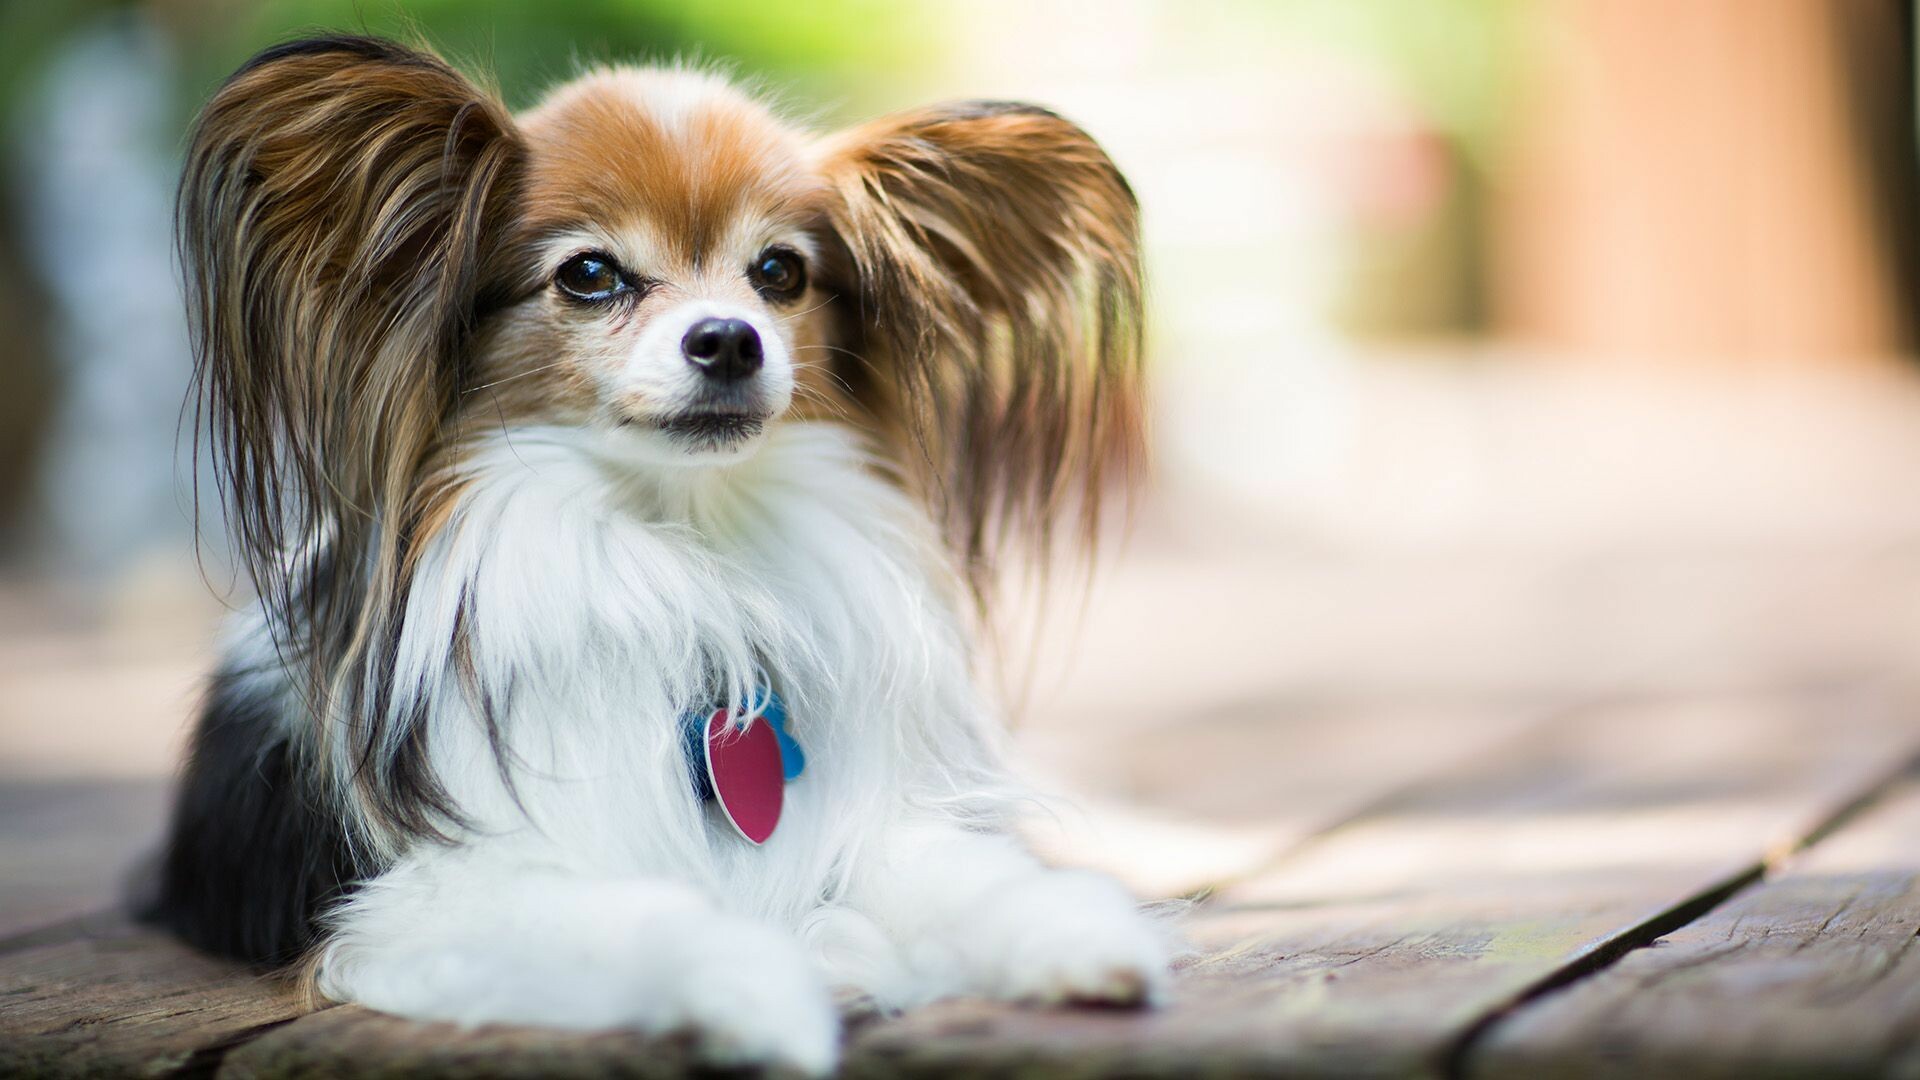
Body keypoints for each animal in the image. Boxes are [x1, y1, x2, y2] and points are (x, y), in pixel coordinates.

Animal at [142, 31, 1159, 1068]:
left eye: (780, 273)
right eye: (590, 275)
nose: (730, 339)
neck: (683, 550)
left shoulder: (874, 818)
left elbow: (959, 869)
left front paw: (1074, 932)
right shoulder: (431, 900)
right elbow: (656, 913)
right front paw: (769, 994)